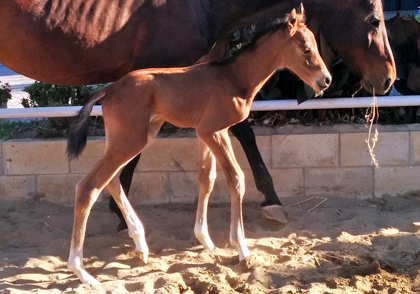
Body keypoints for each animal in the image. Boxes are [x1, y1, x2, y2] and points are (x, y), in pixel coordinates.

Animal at [66, 5, 332, 284]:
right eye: (306, 49)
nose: (326, 80)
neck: (232, 78)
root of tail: (109, 89)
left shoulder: (211, 133)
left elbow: (207, 179)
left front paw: (206, 240)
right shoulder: (211, 132)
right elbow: (236, 179)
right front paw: (242, 249)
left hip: (132, 138)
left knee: (112, 180)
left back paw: (140, 245)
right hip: (129, 140)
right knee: (88, 187)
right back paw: (82, 271)